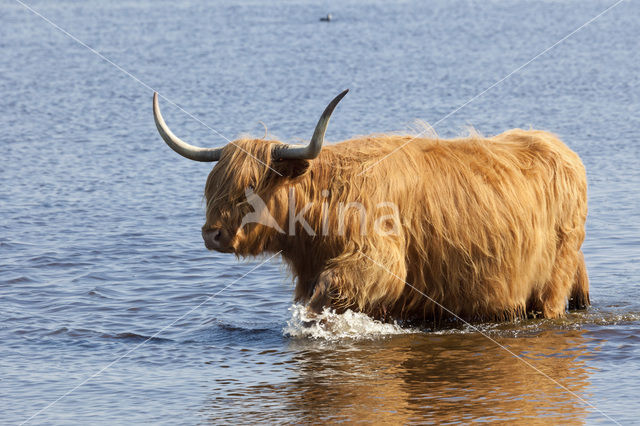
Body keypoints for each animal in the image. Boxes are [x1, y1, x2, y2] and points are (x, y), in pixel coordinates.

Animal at [151, 90, 592, 322]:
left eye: (252, 186)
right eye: (212, 187)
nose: (213, 234)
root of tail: (562, 149)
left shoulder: (378, 256)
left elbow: (334, 285)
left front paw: (312, 319)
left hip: (553, 280)